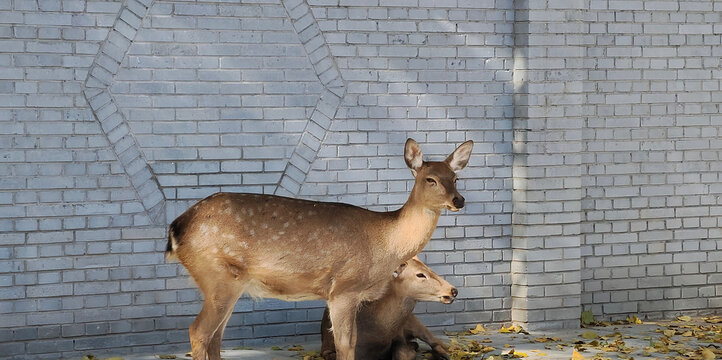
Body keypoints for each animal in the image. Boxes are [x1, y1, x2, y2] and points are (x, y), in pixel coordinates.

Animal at [320, 256, 452, 360]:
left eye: (429, 268)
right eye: (420, 274)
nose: (453, 290)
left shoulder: (398, 336)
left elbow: (402, 353)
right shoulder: (327, 348)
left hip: (416, 324)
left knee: (437, 342)